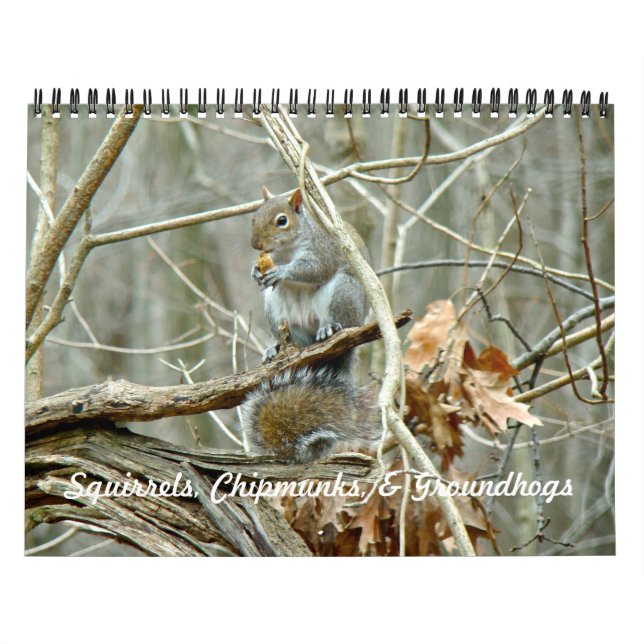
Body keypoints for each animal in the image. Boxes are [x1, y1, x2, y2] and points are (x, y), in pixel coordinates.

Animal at [241, 186, 379, 463]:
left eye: (282, 221)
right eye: (254, 217)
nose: (256, 245)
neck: (285, 251)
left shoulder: (322, 250)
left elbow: (314, 269)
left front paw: (282, 272)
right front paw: (254, 270)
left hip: (343, 293)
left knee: (337, 320)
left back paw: (329, 329)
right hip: (274, 306)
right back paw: (274, 349)